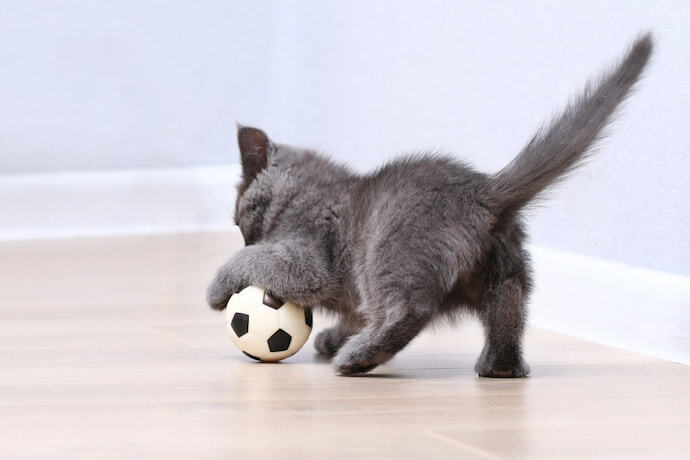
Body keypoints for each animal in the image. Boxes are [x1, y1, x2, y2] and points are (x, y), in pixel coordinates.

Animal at [204, 34, 652, 376]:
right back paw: (500, 367)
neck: (307, 193)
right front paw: (332, 336)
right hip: (506, 271)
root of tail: (483, 193)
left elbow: (260, 262)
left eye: (239, 222)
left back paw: (359, 359)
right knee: (508, 311)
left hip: (389, 251)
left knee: (407, 308)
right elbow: (354, 312)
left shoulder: (306, 259)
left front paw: (218, 287)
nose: (244, 237)